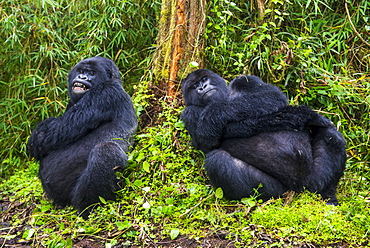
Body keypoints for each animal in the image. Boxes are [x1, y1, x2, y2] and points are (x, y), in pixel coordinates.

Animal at [27, 56, 137, 217]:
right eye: (81, 71)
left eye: (91, 73)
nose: (82, 77)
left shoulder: (106, 92)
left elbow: (52, 132)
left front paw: (36, 140)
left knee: (107, 151)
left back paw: (88, 208)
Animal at [182, 69, 346, 204]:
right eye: (194, 86)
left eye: (204, 79)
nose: (202, 87)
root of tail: (300, 188)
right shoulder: (189, 113)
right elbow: (210, 144)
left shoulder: (244, 80)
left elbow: (272, 96)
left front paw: (213, 113)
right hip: (279, 191)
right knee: (217, 160)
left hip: (311, 183)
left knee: (330, 136)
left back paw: (328, 193)